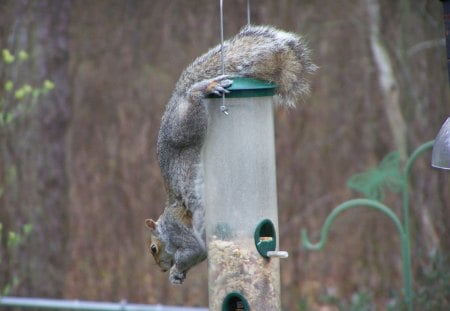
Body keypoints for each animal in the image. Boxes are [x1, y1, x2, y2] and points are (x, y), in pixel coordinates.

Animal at [144, 25, 316, 286]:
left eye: (153, 248)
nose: (162, 270)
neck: (165, 226)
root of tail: (176, 99)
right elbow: (200, 255)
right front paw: (179, 275)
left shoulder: (178, 232)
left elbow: (194, 251)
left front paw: (176, 271)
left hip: (185, 126)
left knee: (193, 99)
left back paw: (204, 88)